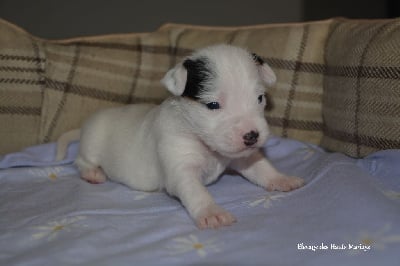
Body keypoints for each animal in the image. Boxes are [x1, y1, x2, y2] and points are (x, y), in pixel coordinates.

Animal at [56, 44, 304, 230]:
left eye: (260, 98)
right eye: (213, 104)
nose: (252, 136)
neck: (203, 141)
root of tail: (87, 125)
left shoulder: (241, 156)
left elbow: (260, 166)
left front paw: (281, 179)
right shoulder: (180, 165)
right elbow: (195, 190)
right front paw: (211, 212)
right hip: (92, 143)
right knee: (81, 160)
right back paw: (92, 173)